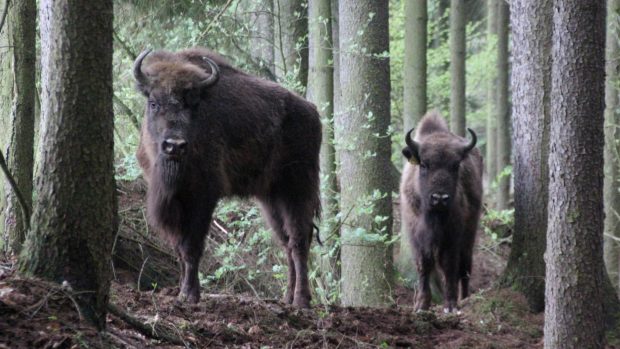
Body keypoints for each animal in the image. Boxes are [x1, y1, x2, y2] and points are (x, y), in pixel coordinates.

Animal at [133, 47, 322, 306]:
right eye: (153, 103)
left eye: (193, 104)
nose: (175, 145)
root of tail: (312, 112)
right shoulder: (173, 201)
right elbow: (179, 247)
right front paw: (180, 291)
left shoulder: (203, 196)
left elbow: (192, 246)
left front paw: (190, 294)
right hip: (271, 199)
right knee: (286, 243)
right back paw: (287, 297)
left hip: (297, 189)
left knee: (299, 240)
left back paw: (301, 301)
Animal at [400, 110, 482, 312]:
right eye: (424, 164)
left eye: (455, 165)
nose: (439, 198)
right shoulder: (416, 237)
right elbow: (424, 265)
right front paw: (421, 305)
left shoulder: (452, 237)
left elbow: (450, 266)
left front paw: (451, 304)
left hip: (470, 234)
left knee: (465, 267)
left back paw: (464, 297)